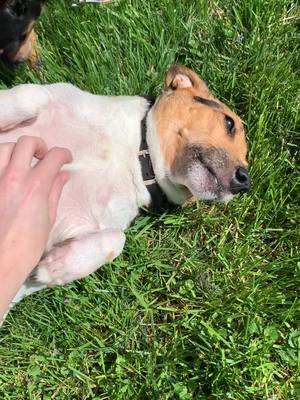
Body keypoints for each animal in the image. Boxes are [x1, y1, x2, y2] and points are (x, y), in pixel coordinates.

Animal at [0, 65, 250, 316]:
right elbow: (32, 94)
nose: (245, 182)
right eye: (229, 123)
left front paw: (55, 267)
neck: (135, 157)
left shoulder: (90, 224)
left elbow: (116, 239)